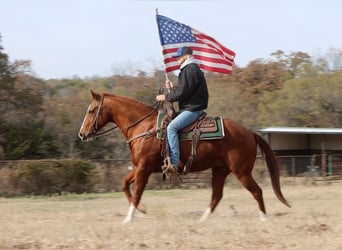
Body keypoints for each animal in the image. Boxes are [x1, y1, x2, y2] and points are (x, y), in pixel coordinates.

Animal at [79, 90, 290, 223]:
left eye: (91, 110)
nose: (82, 134)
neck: (144, 127)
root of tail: (249, 132)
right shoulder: (140, 167)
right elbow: (125, 184)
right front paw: (141, 210)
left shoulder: (143, 169)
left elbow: (137, 191)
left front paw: (128, 218)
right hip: (220, 170)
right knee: (217, 195)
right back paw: (203, 220)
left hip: (241, 171)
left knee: (256, 191)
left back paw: (263, 218)